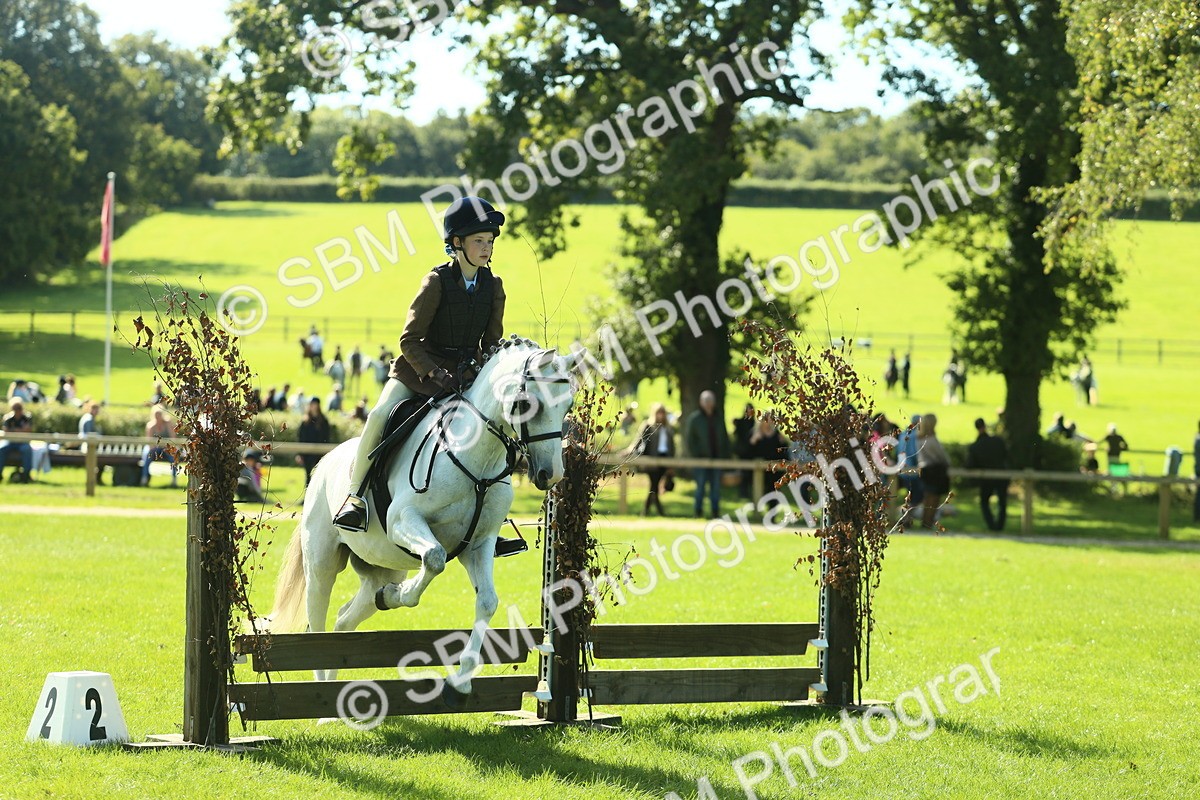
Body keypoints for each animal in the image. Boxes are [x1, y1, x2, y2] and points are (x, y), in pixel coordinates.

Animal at [261, 338, 580, 708]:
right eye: (528, 404)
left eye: (568, 404)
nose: (551, 475)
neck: (477, 458)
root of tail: (324, 462)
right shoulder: (404, 520)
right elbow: (434, 559)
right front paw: (400, 596)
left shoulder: (479, 544)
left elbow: (487, 601)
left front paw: (459, 686)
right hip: (322, 563)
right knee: (318, 619)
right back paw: (323, 702)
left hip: (380, 565)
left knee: (346, 616)